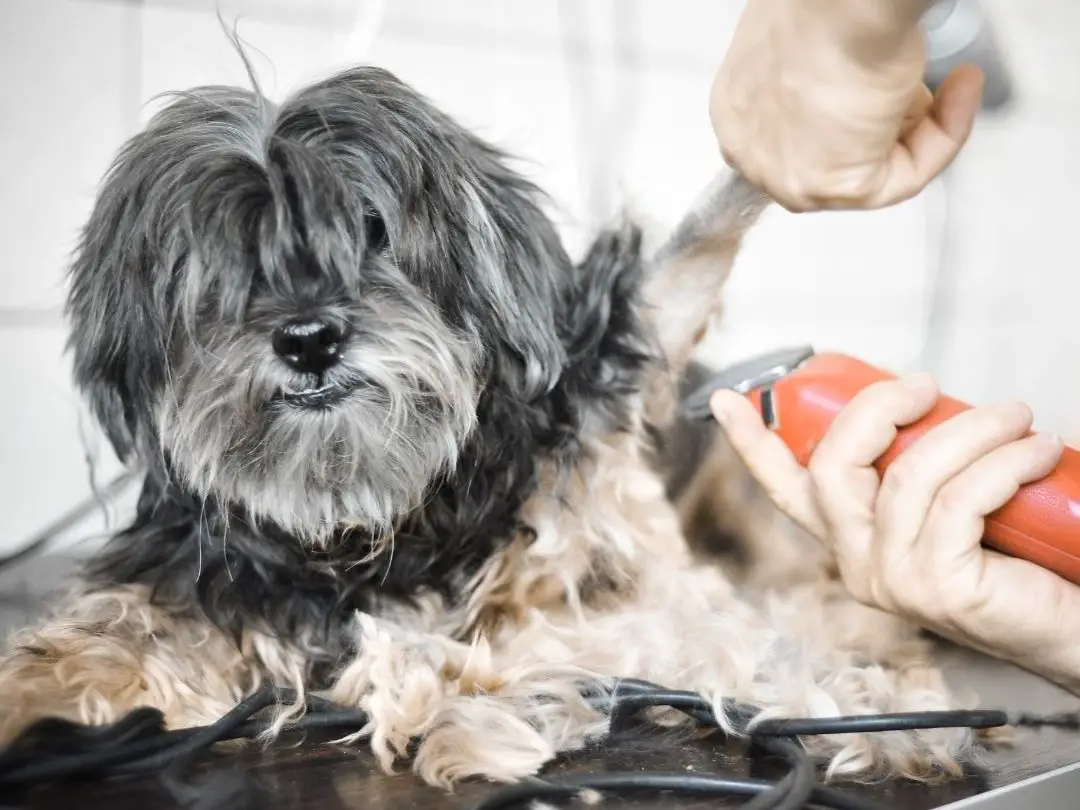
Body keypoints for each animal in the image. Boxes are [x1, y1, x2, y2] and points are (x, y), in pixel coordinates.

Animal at [0, 61, 984, 786]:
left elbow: (691, 252)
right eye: (227, 266)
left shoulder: (601, 401)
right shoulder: (204, 589)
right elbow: (96, 643)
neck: (377, 529)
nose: (309, 337)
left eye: (373, 232)